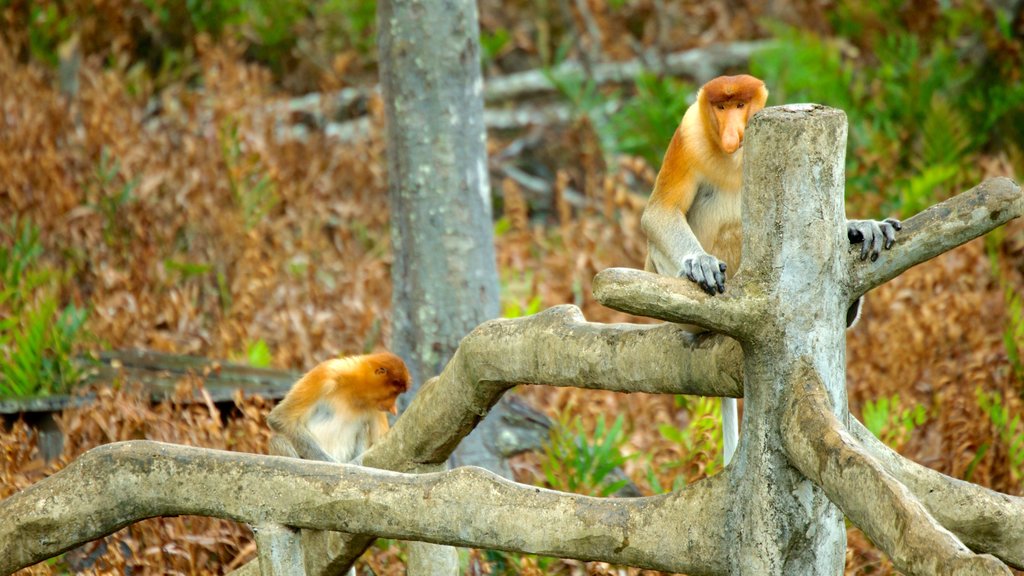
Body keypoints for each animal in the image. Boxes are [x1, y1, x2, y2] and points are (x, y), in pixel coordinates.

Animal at [643, 73, 901, 463]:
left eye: (740, 105)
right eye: (721, 107)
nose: (732, 133)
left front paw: (860, 227)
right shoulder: (688, 135)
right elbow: (659, 212)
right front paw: (700, 263)